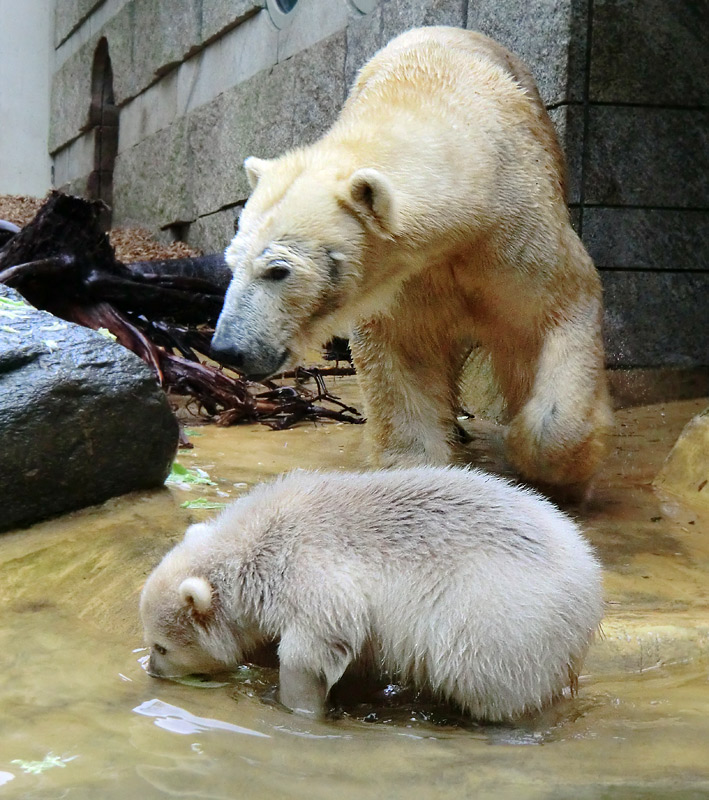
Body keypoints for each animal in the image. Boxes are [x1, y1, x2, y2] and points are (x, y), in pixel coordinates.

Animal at [213, 26, 612, 488]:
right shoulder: (406, 277)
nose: (228, 348)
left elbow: (554, 310)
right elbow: (405, 349)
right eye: (231, 264)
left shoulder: (515, 232)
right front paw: (418, 467)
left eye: (278, 270)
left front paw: (545, 460)